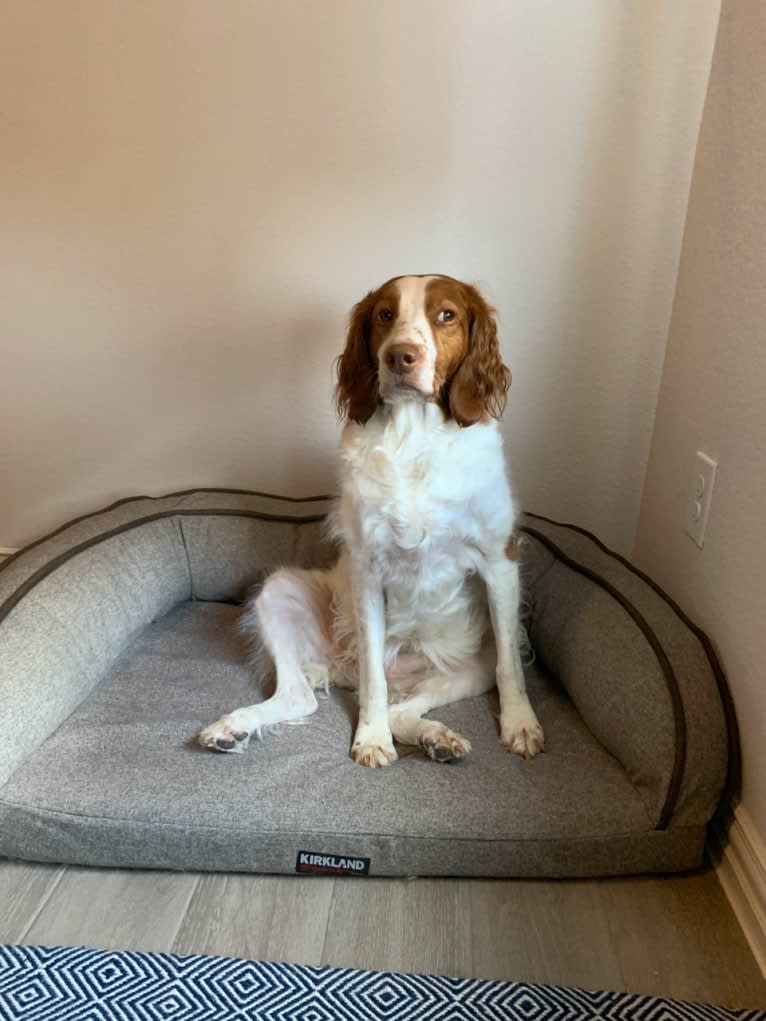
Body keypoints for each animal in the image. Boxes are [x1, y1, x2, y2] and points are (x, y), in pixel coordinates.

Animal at [199, 271, 547, 767]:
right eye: (385, 314)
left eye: (447, 315)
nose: (400, 356)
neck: (415, 437)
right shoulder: (367, 570)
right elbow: (373, 680)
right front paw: (370, 736)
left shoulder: (500, 562)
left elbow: (510, 669)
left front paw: (520, 724)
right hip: (279, 590)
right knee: (306, 695)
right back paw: (233, 727)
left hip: (471, 663)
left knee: (410, 706)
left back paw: (438, 739)